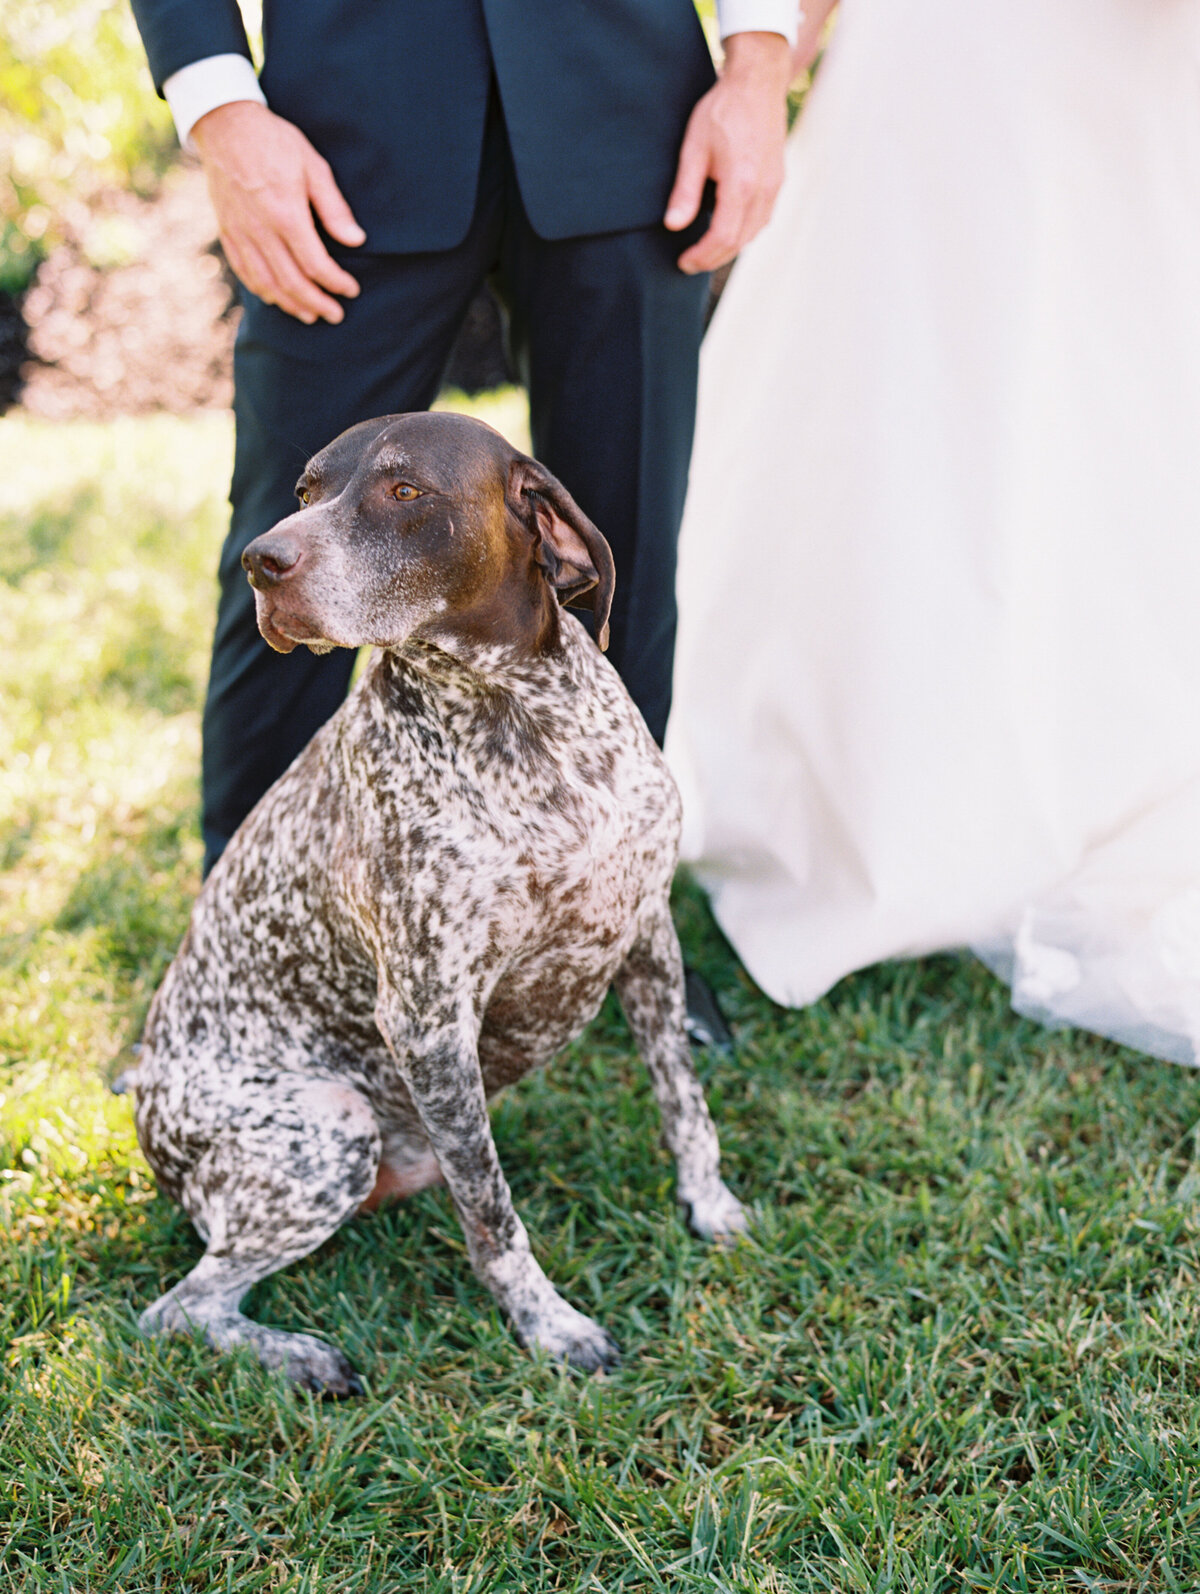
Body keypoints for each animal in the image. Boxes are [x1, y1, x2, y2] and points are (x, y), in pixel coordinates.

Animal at [126, 411, 745, 1396]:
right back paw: (300, 1357)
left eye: (403, 490)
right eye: (305, 492)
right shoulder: (428, 1019)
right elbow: (493, 1218)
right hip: (329, 1131)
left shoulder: (647, 936)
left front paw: (710, 1204)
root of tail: (141, 1101)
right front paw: (549, 1326)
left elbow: (685, 1106)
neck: (519, 722)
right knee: (177, 1310)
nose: (262, 561)